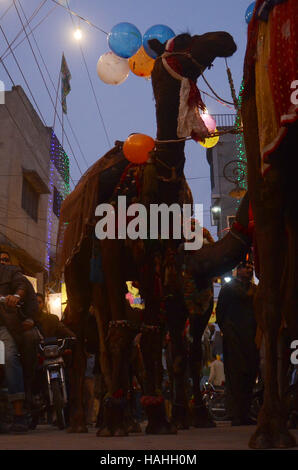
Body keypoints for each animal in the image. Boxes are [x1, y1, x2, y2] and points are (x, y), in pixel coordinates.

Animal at [57, 30, 236, 436]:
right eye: (184, 41)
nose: (225, 38)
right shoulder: (113, 257)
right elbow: (125, 331)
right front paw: (119, 419)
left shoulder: (158, 261)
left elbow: (154, 333)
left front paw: (158, 418)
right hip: (77, 275)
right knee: (78, 338)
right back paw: (81, 420)